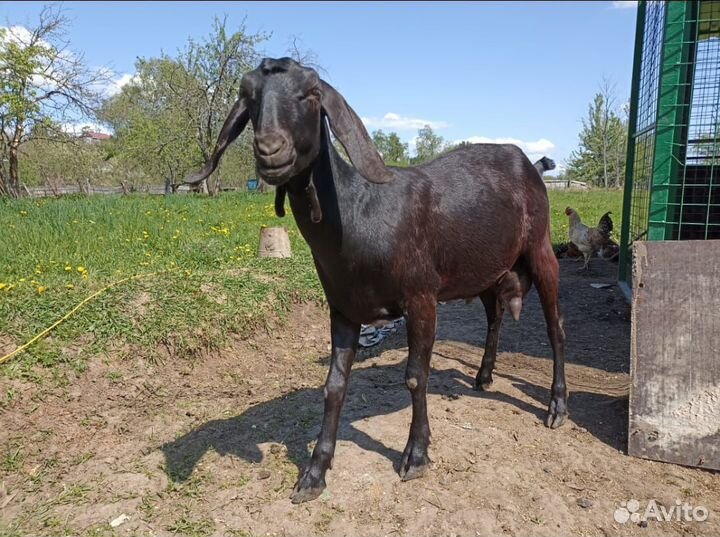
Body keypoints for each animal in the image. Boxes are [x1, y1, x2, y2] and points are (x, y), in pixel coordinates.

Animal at [185, 57, 568, 504]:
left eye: (310, 94)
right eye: (249, 97)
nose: (270, 150)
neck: (361, 214)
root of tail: (529, 164)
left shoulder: (421, 298)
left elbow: (415, 376)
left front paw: (415, 456)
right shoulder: (343, 308)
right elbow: (334, 385)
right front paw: (314, 473)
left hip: (540, 248)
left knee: (555, 327)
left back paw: (557, 407)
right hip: (487, 269)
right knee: (495, 316)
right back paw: (483, 377)